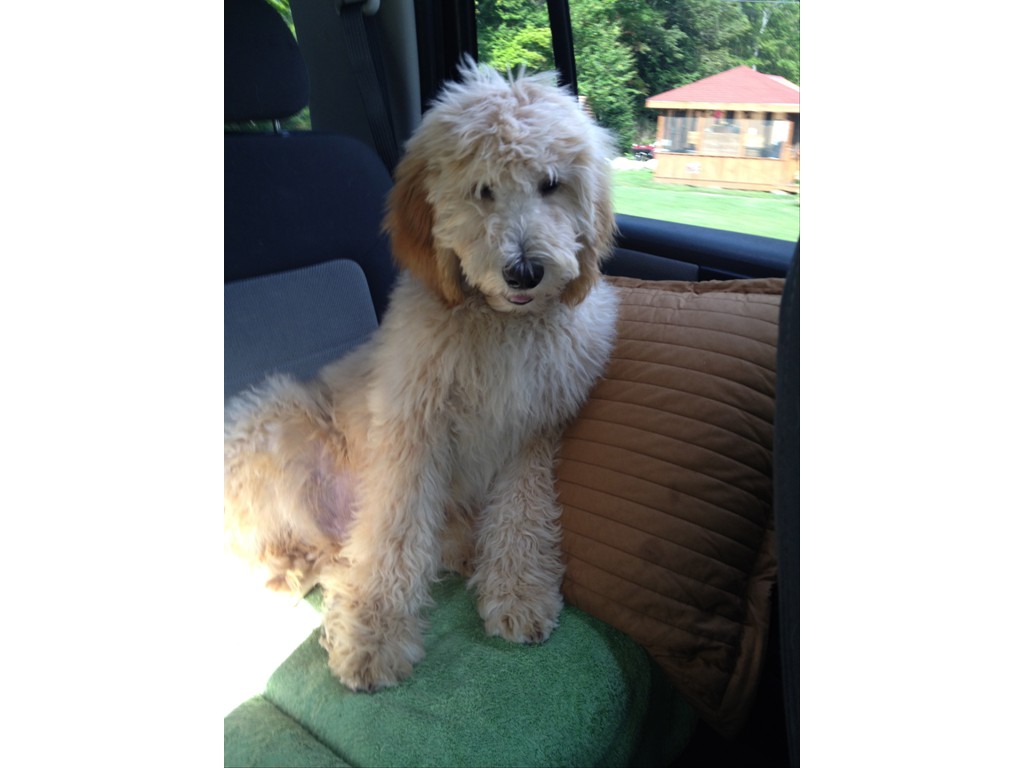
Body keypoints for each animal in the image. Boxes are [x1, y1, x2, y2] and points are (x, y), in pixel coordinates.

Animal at [224, 61, 619, 692]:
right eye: (482, 190)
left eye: (551, 184)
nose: (525, 271)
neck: (498, 324)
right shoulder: (412, 426)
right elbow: (394, 531)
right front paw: (375, 634)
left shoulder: (533, 432)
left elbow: (523, 510)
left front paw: (519, 590)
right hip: (272, 419)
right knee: (306, 547)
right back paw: (296, 570)